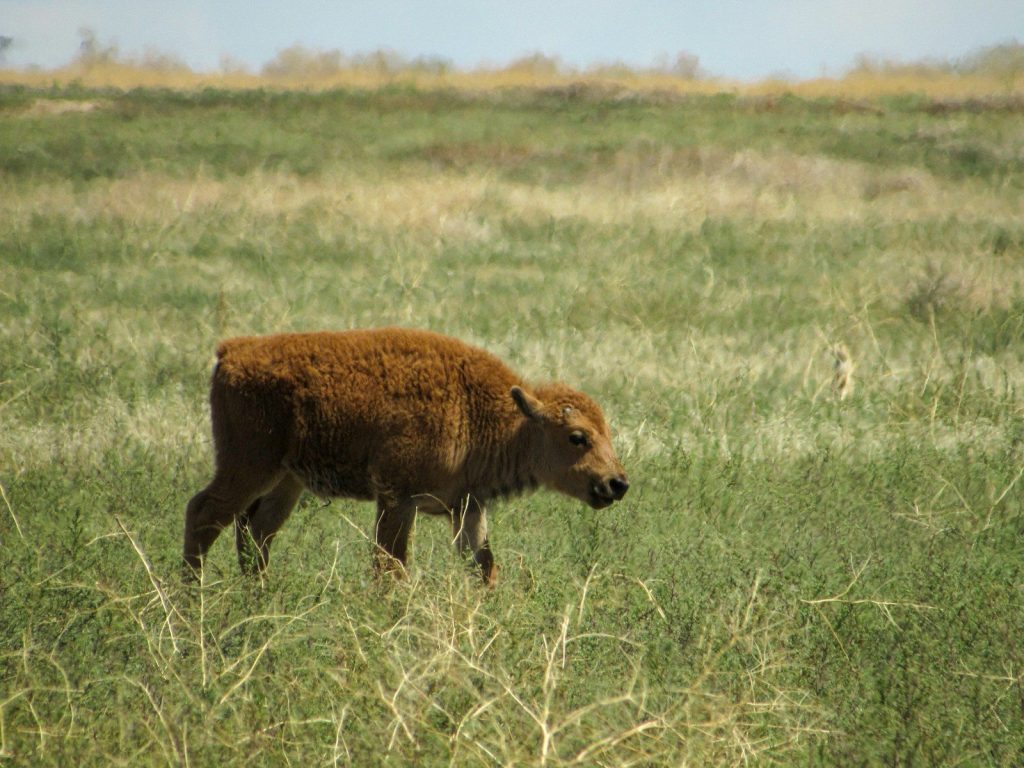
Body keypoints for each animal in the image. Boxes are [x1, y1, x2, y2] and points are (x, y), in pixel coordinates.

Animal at [183, 328, 629, 584]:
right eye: (577, 437)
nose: (616, 483)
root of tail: (233, 351)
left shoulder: (468, 508)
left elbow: (483, 567)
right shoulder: (398, 499)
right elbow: (391, 568)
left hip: (286, 480)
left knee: (257, 530)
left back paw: (260, 596)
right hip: (249, 464)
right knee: (205, 513)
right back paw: (192, 600)